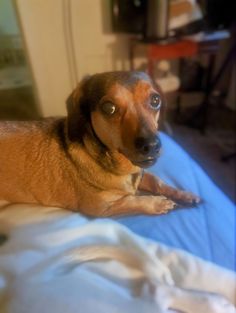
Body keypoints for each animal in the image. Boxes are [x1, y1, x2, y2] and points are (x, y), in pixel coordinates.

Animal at [0, 71, 200, 216]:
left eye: (155, 100)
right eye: (109, 108)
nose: (152, 146)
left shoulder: (141, 175)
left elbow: (157, 181)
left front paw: (183, 194)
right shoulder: (100, 207)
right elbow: (132, 200)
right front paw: (156, 203)